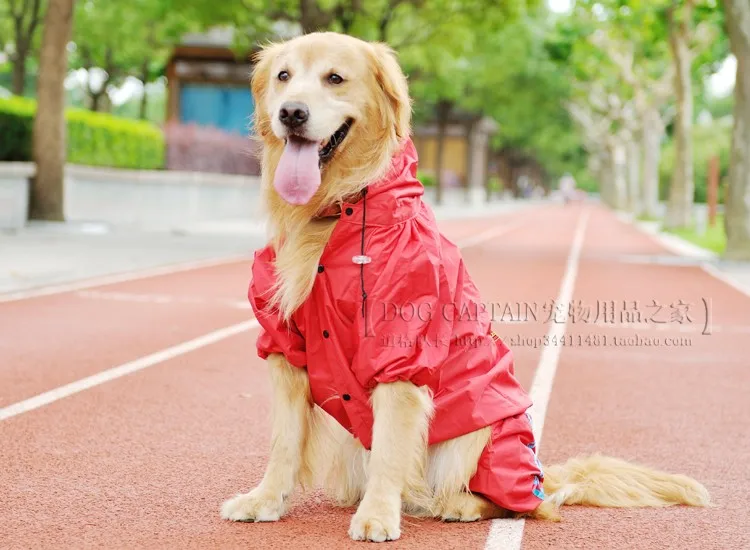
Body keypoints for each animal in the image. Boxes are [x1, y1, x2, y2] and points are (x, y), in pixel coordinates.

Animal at [220, 32, 712, 544]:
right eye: (283, 76)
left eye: (335, 78)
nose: (291, 113)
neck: (334, 213)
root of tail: (540, 473)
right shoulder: (285, 347)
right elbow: (283, 441)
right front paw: (264, 500)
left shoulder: (402, 350)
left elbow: (391, 447)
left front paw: (377, 516)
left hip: (485, 435)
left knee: (514, 504)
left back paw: (458, 505)